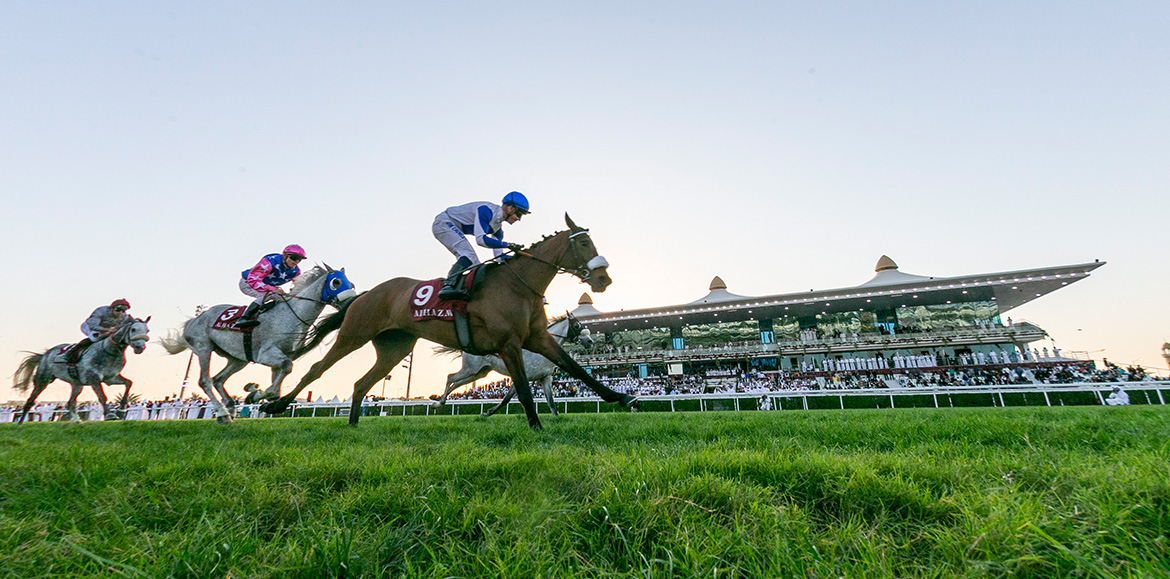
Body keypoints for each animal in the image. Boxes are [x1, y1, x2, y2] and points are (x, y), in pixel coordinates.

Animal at [13, 318, 152, 425]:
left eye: (147, 330)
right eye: (133, 329)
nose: (140, 347)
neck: (110, 350)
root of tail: (44, 355)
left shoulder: (111, 378)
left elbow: (128, 383)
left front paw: (121, 409)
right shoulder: (93, 378)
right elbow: (102, 397)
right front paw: (110, 415)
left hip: (76, 383)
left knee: (71, 402)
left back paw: (76, 419)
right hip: (43, 379)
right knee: (31, 399)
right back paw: (20, 423)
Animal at [157, 265, 353, 423]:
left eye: (351, 283)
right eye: (336, 282)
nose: (351, 301)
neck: (292, 315)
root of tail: (193, 320)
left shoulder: (279, 357)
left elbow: (276, 389)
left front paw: (253, 392)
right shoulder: (266, 354)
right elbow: (285, 368)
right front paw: (254, 393)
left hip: (238, 359)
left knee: (218, 379)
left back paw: (229, 407)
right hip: (203, 347)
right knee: (205, 381)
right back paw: (222, 413)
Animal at [432, 315, 594, 414]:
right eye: (577, 325)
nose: (590, 341)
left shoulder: (545, 377)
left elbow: (552, 404)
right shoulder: (523, 376)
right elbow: (506, 399)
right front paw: (488, 412)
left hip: (479, 372)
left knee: (456, 382)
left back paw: (438, 400)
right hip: (470, 369)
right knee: (451, 377)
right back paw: (439, 401)